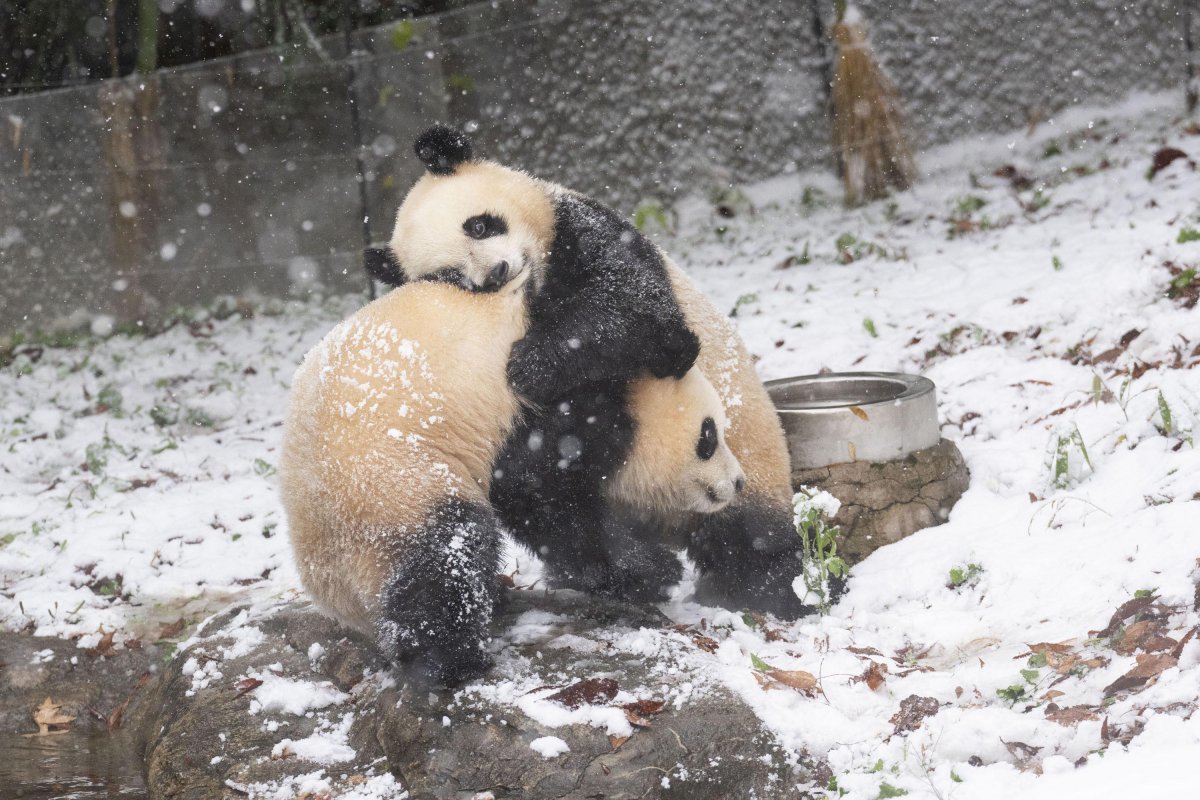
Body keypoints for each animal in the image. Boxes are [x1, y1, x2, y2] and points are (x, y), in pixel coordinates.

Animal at [284, 275, 744, 690]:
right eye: (707, 437)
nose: (738, 482)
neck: (633, 389)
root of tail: (332, 581)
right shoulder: (547, 409)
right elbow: (539, 495)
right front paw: (652, 569)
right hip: (392, 484)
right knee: (447, 555)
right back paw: (450, 660)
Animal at [369, 125, 811, 618]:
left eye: (479, 225)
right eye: (452, 275)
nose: (498, 273)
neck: (538, 285)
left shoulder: (584, 230)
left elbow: (636, 311)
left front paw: (533, 365)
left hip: (745, 464)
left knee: (750, 539)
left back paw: (772, 589)